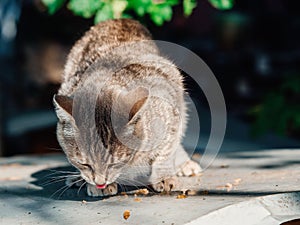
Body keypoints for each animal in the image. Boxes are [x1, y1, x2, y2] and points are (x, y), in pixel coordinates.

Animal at [53, 18, 202, 196]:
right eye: (84, 164)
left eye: (114, 164)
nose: (100, 183)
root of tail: (118, 19)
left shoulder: (171, 108)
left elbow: (165, 151)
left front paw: (163, 176)